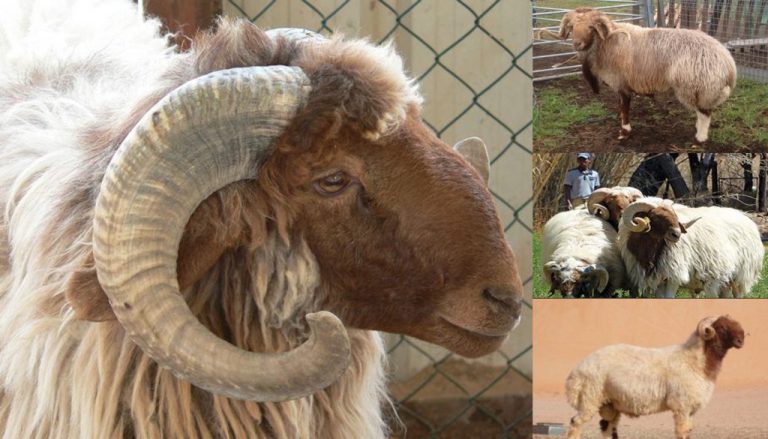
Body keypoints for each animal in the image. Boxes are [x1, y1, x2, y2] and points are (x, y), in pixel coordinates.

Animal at [559, 8, 736, 146]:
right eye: (572, 26)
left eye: (591, 27)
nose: (577, 44)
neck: (606, 42)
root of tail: (728, 64)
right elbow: (620, 107)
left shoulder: (622, 83)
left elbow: (624, 107)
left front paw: (624, 132)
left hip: (695, 87)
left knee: (704, 114)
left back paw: (699, 139)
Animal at [565, 315, 745, 439]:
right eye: (721, 327)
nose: (741, 340)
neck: (695, 361)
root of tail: (575, 372)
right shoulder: (681, 406)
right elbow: (682, 432)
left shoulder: (690, 409)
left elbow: (689, 431)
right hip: (589, 398)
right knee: (576, 423)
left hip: (610, 404)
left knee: (607, 427)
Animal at [618, 197, 763, 297]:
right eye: (655, 217)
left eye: (675, 217)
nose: (677, 234)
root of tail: (746, 218)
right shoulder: (658, 279)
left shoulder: (673, 276)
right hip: (726, 280)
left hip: (741, 276)